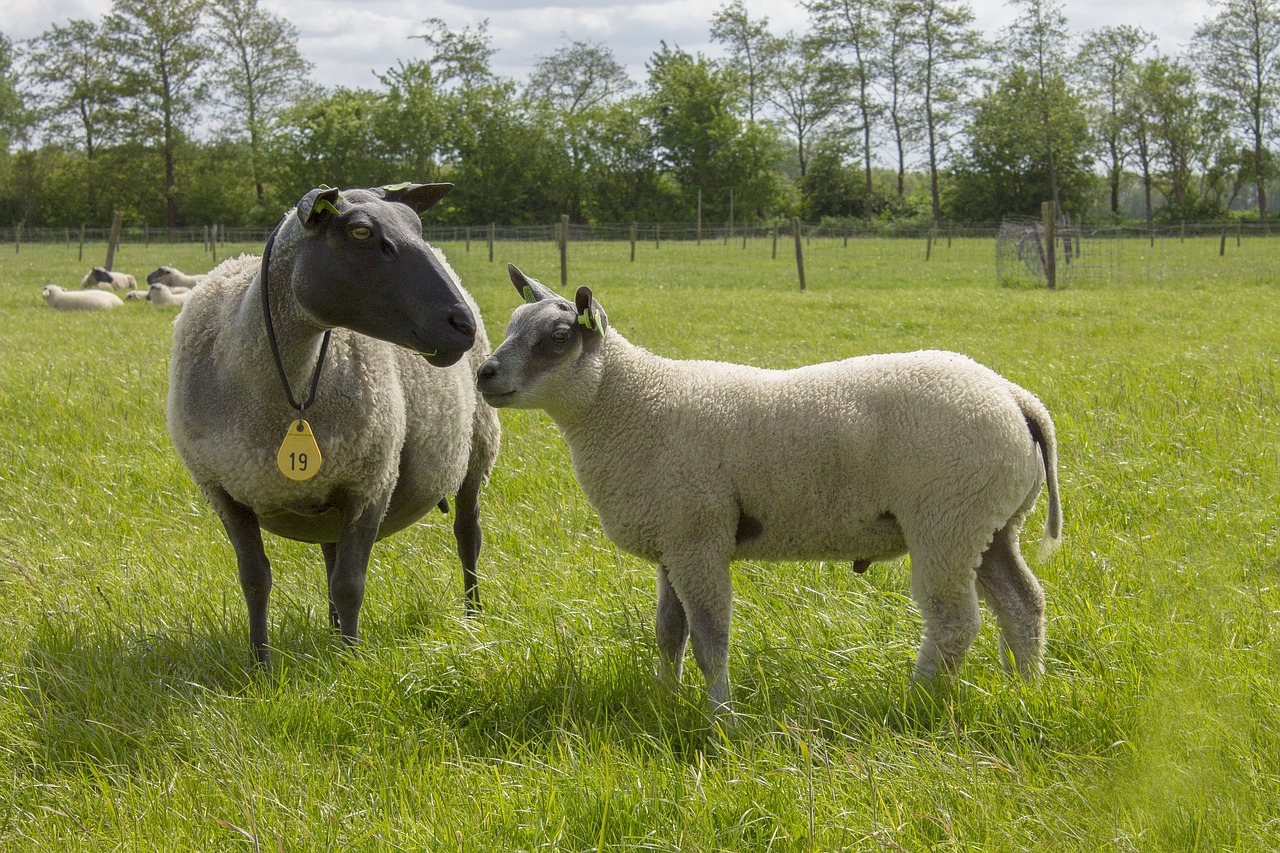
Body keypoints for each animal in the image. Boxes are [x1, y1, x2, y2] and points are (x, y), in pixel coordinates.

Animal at [161, 184, 499, 666]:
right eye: (360, 232)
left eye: (416, 225)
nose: (462, 324)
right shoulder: (223, 490)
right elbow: (255, 579)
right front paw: (260, 664)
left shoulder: (371, 481)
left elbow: (350, 583)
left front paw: (351, 663)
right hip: (327, 487)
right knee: (330, 552)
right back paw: (332, 629)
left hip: (477, 449)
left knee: (468, 535)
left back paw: (472, 618)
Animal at [476, 263, 1064, 712]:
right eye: (511, 324)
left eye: (557, 339)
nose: (483, 373)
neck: (632, 404)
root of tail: (1017, 398)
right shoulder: (671, 543)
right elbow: (669, 634)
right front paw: (665, 701)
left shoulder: (699, 539)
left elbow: (709, 637)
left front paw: (721, 717)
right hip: (990, 523)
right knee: (1022, 604)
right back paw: (1026, 689)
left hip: (946, 520)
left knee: (953, 622)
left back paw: (914, 702)